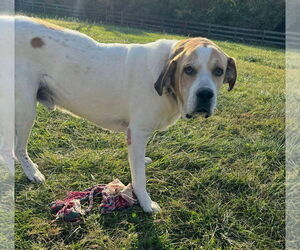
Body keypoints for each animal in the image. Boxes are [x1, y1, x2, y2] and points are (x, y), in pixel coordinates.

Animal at [0, 15, 237, 211]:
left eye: (219, 71)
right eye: (188, 70)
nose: (205, 94)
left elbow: (138, 164)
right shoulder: (137, 134)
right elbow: (140, 178)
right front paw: (146, 202)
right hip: (25, 109)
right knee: (15, 149)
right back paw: (30, 172)